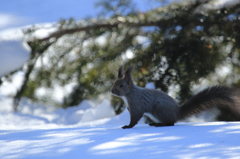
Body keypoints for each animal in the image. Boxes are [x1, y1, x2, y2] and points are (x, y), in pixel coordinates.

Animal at [111, 65, 240, 129]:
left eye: (121, 85)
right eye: (114, 82)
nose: (112, 91)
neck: (128, 95)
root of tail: (178, 112)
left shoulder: (136, 104)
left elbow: (135, 118)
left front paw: (128, 126)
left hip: (160, 108)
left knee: (171, 123)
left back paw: (160, 124)